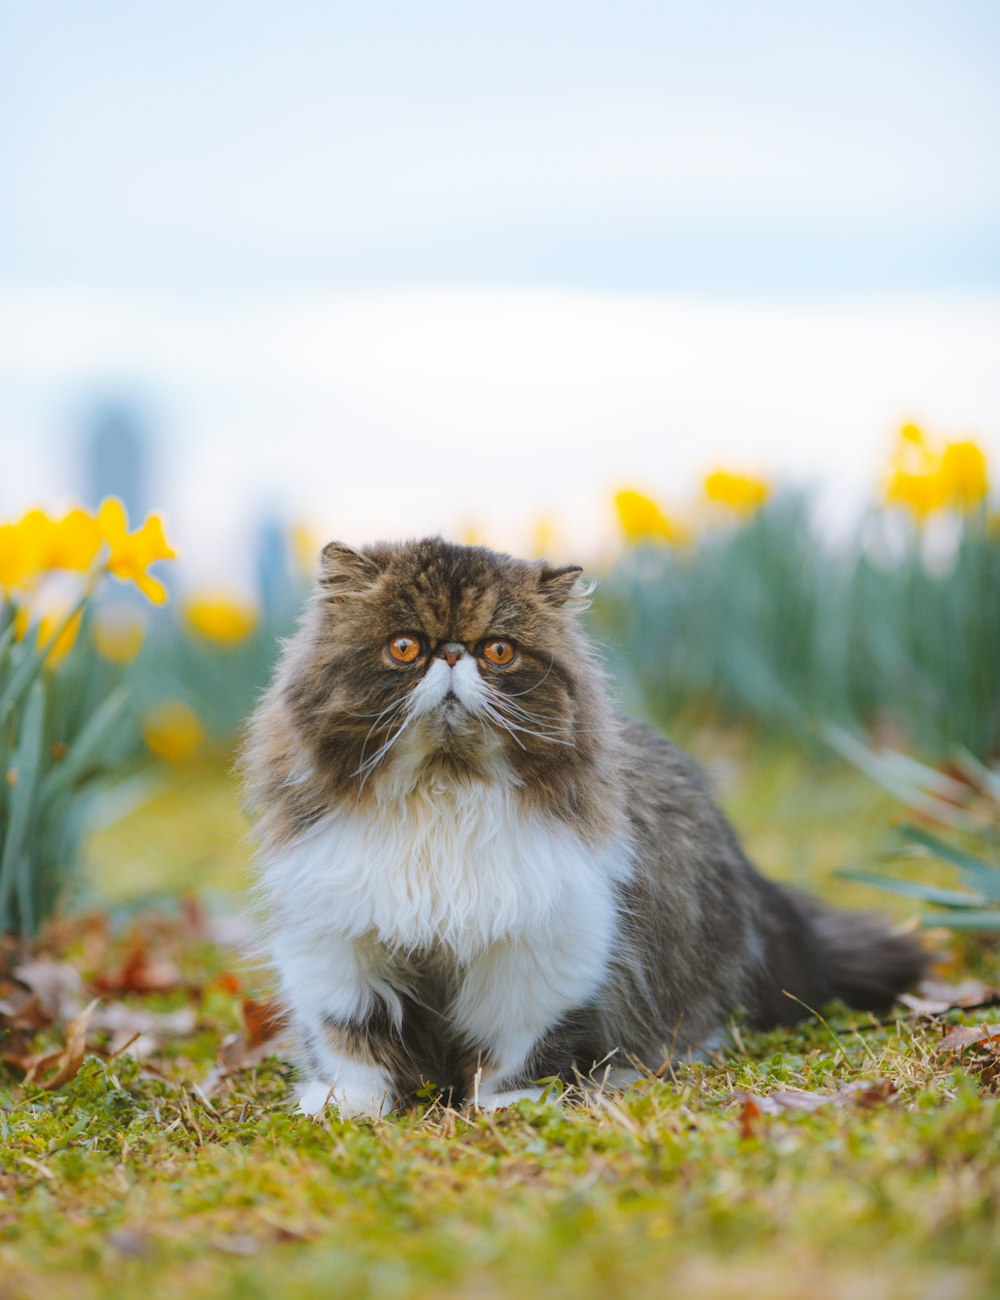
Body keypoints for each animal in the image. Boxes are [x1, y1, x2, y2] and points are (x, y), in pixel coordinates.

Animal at [239, 538, 920, 1118]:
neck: (444, 793)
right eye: (405, 647)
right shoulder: (339, 949)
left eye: (499, 651)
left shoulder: (538, 954)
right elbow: (351, 1047)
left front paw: (508, 1107)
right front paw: (344, 1109)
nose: (453, 654)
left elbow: (515, 1051)